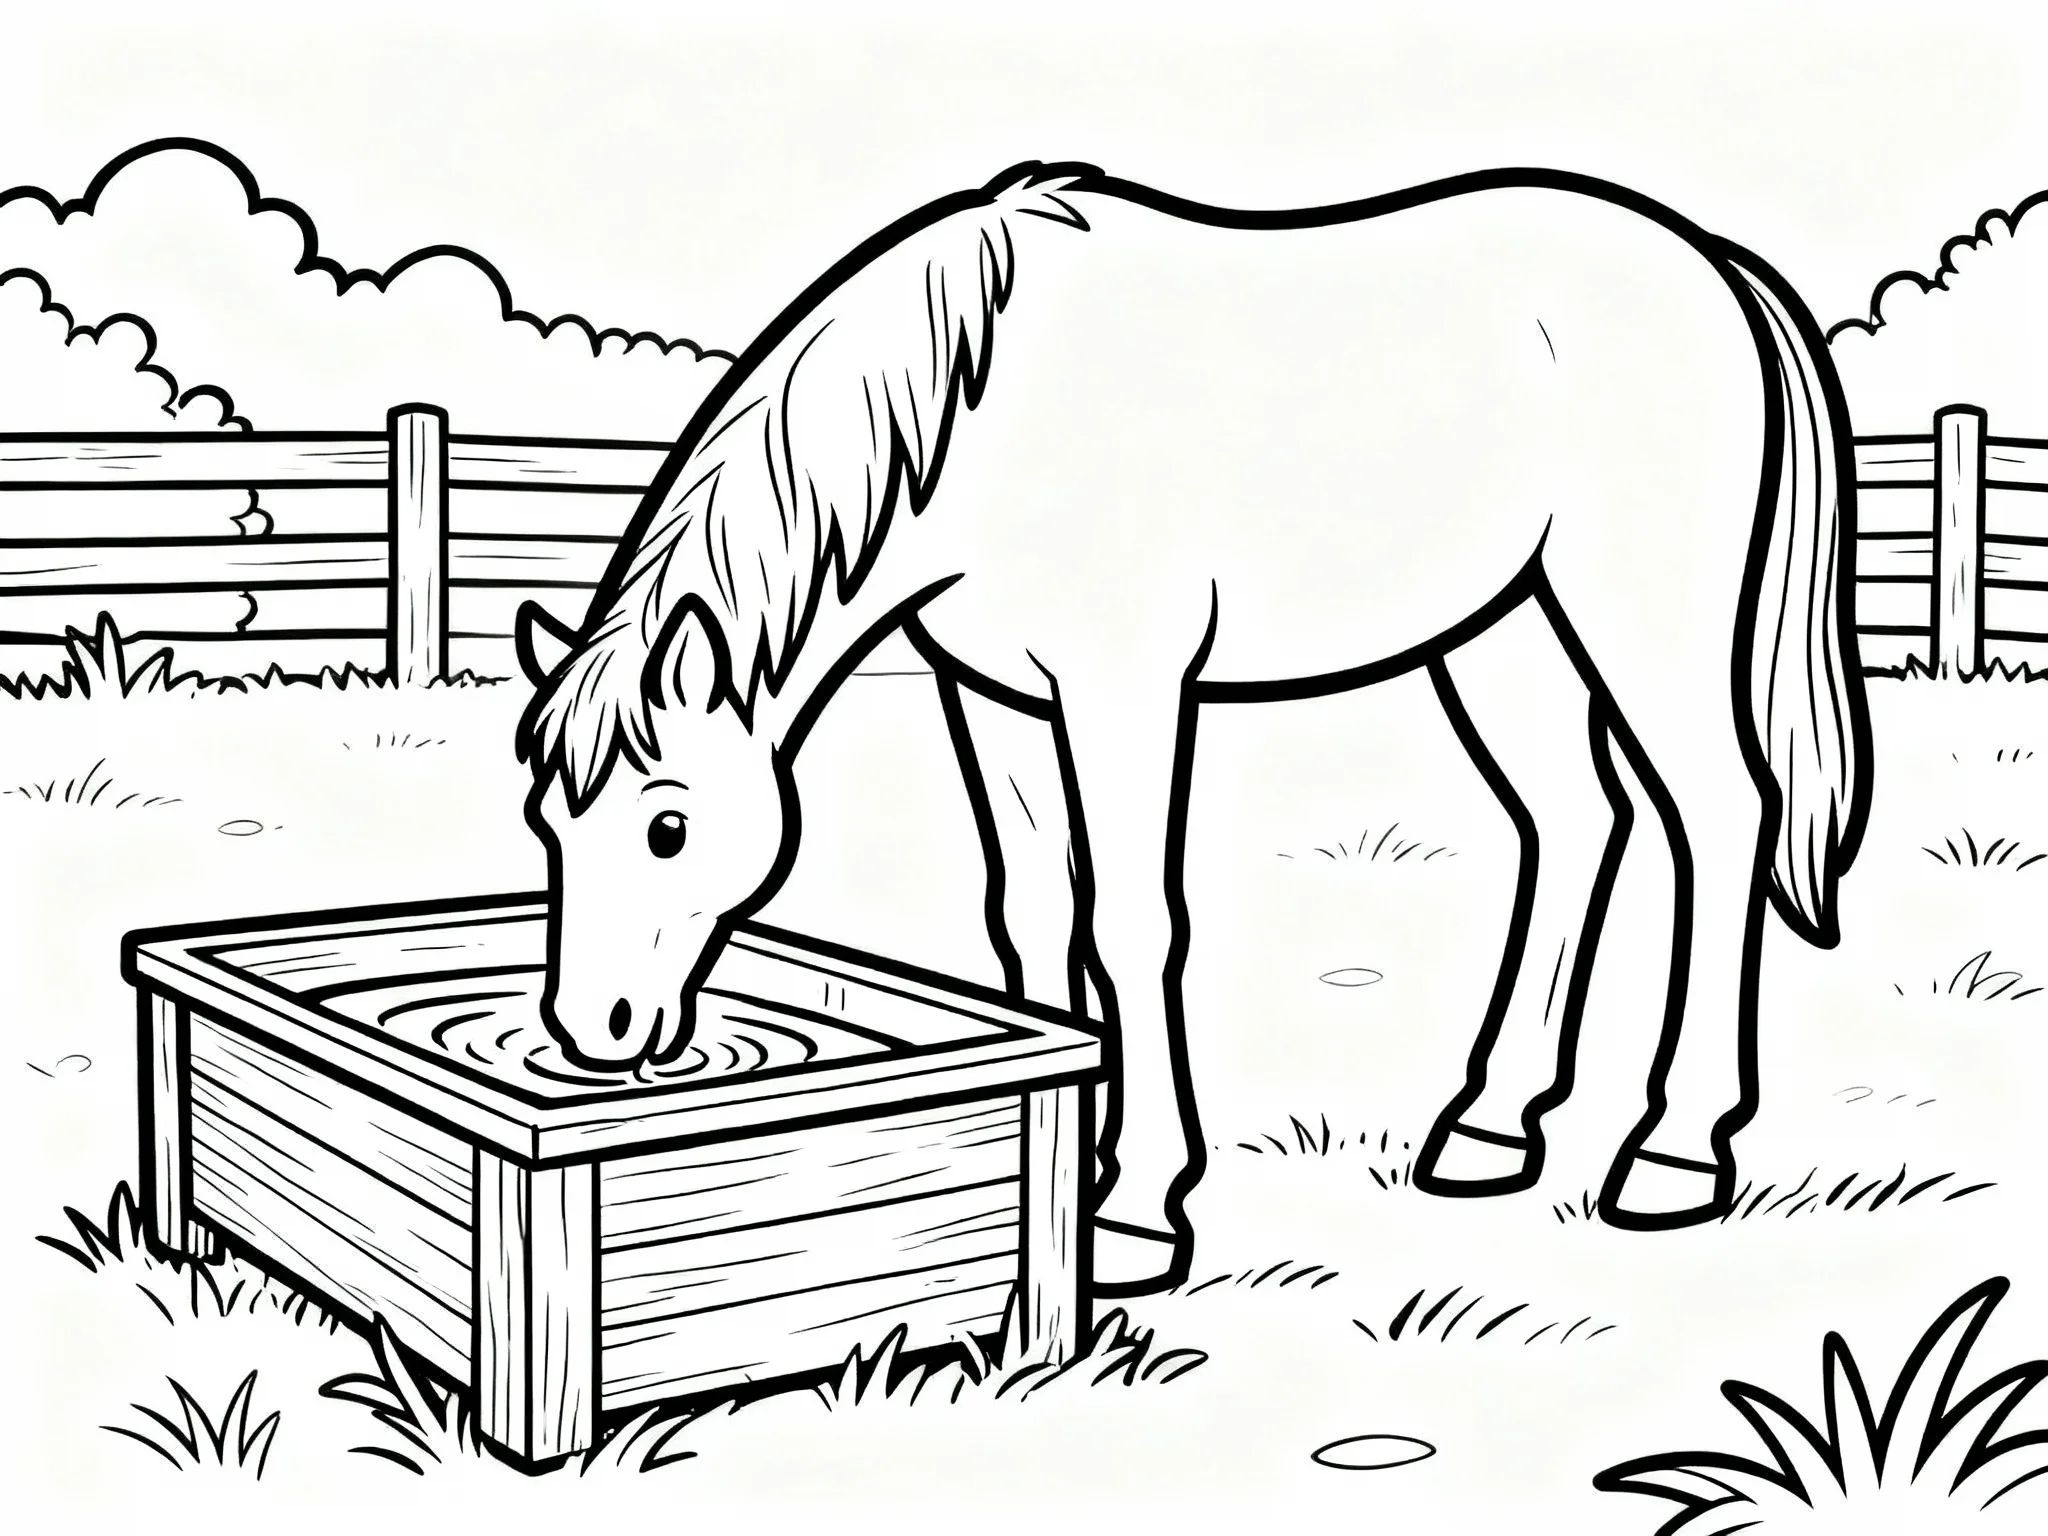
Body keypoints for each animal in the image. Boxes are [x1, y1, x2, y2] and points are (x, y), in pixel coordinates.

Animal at [513, 162, 1870, 1296]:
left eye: (669, 828)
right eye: (545, 822)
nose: (591, 1032)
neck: (980, 409)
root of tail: (1704, 258)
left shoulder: (1125, 688)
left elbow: (1132, 924)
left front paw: (1136, 1218)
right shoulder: (994, 697)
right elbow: (1034, 919)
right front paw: (1076, 1169)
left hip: (1637, 616)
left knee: (1719, 815)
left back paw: (1675, 1153)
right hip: (1503, 629)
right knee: (1575, 823)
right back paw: (1486, 1130)